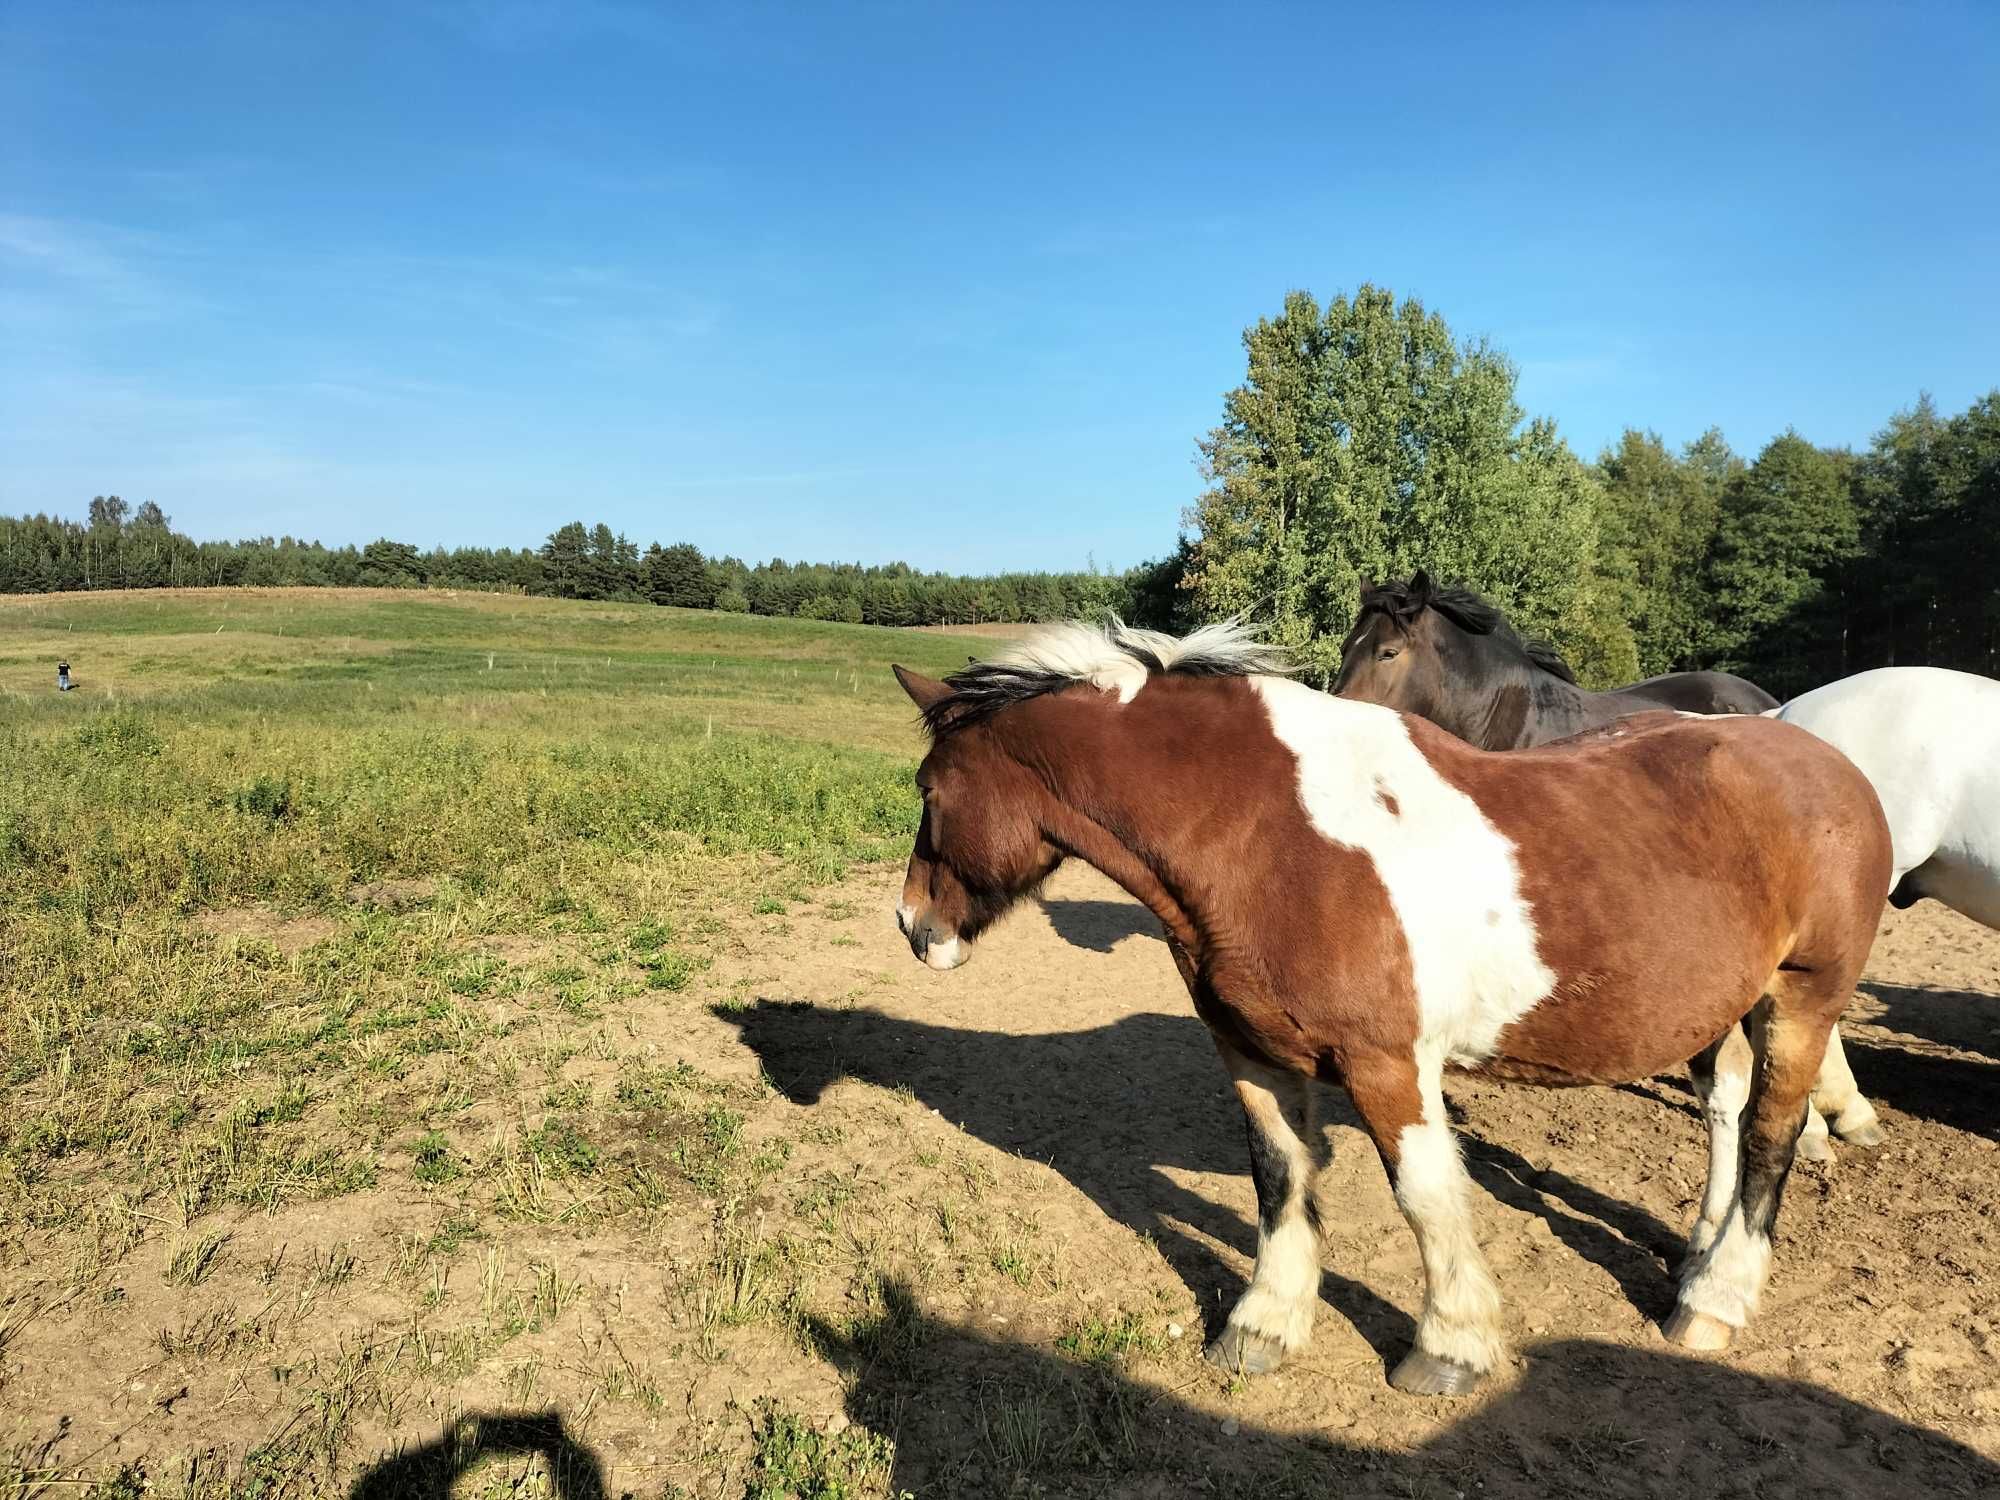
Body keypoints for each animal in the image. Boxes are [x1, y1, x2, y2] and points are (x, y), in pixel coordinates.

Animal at [892, 620, 1888, 1400]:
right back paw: (1696, 1261)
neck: (1266, 832)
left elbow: (1424, 1195)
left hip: (1804, 998)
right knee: (1725, 1114)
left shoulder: (1387, 1064)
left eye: (929, 791)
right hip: (1723, 1008)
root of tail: (1828, 762)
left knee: (1770, 1135)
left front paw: (1451, 1347)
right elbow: (1278, 1179)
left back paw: (1716, 1301)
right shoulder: (1252, 1052)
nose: (912, 926)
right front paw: (1263, 1325)